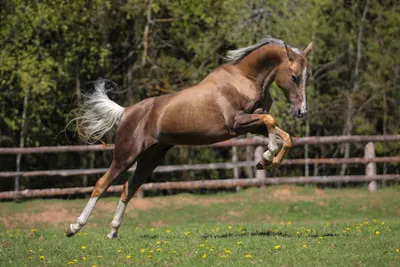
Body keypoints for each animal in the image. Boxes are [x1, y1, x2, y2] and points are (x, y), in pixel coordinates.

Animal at [65, 36, 312, 240]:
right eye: (294, 76)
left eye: (306, 76)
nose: (302, 111)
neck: (245, 79)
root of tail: (126, 112)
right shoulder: (237, 123)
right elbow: (271, 121)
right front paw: (267, 157)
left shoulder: (251, 126)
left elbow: (284, 135)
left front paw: (267, 161)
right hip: (126, 155)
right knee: (102, 183)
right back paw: (74, 227)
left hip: (150, 158)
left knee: (129, 188)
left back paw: (113, 231)